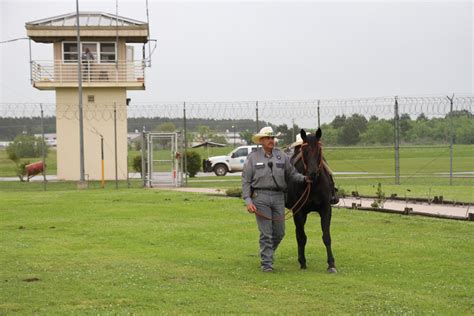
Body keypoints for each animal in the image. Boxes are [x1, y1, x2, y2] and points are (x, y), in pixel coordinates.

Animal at [286, 128, 336, 272]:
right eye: (305, 150)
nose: (312, 173)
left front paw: (331, 264)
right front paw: (303, 262)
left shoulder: (326, 209)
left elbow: (326, 236)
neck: (313, 185)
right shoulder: (298, 211)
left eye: (319, 150)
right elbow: (302, 237)